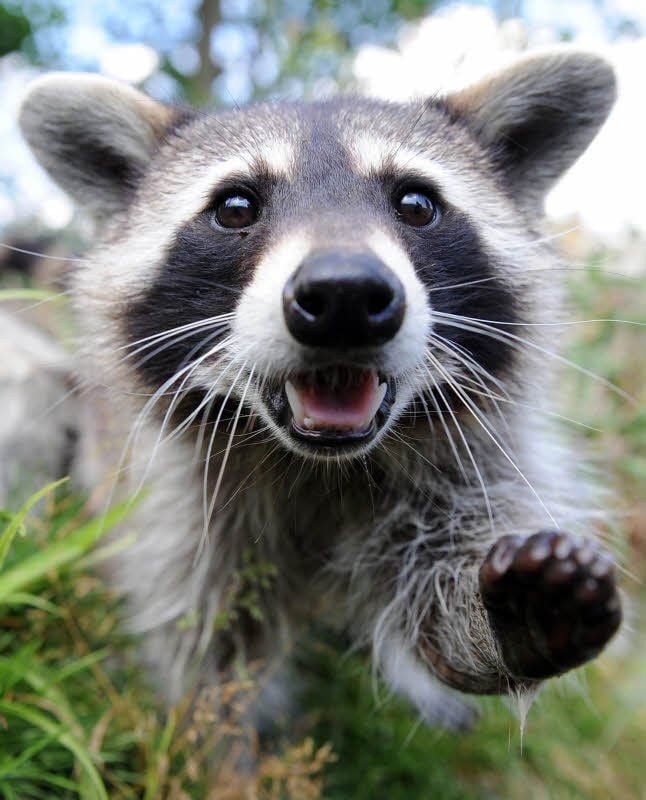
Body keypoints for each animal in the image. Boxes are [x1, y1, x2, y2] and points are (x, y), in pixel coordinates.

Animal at [20, 48, 624, 724]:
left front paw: (502, 622)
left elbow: (439, 616)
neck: (322, 467)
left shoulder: (470, 466)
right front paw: (220, 744)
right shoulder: (176, 509)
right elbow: (205, 657)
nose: (345, 295)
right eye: (236, 207)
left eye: (417, 204)